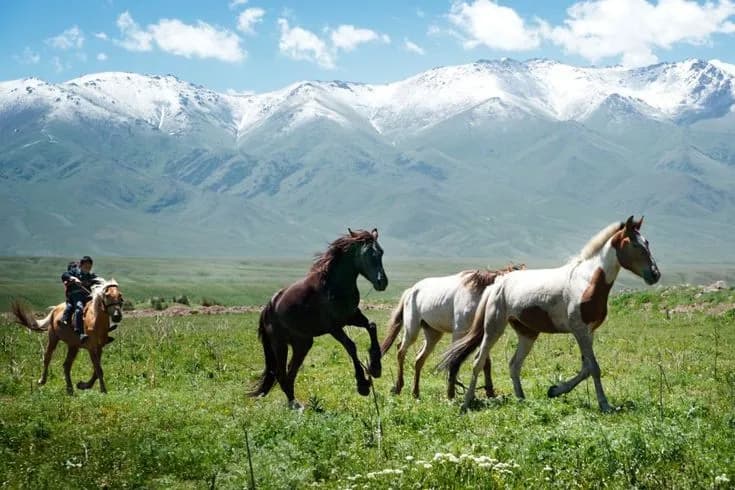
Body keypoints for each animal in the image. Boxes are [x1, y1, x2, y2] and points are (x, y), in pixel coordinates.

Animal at [249, 228, 388, 409]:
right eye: (366, 254)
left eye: (381, 252)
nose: (382, 282)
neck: (333, 285)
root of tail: (268, 307)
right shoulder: (333, 327)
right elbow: (351, 346)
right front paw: (362, 385)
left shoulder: (351, 316)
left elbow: (371, 326)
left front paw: (375, 367)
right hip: (280, 345)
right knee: (281, 373)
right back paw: (294, 405)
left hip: (302, 344)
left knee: (290, 372)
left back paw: (295, 403)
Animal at [380, 264, 524, 399]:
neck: (477, 297)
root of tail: (410, 291)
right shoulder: (459, 333)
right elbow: (455, 360)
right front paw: (451, 394)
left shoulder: (480, 336)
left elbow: (485, 363)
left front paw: (490, 393)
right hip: (412, 330)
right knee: (401, 351)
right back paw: (398, 387)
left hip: (433, 334)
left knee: (419, 359)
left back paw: (415, 393)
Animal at [439, 217, 660, 412]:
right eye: (633, 244)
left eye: (647, 242)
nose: (655, 274)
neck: (586, 281)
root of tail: (498, 282)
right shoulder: (579, 330)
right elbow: (594, 367)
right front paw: (605, 405)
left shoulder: (589, 332)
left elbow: (586, 368)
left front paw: (554, 390)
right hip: (493, 328)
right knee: (478, 361)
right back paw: (466, 404)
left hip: (527, 334)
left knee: (514, 364)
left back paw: (521, 400)